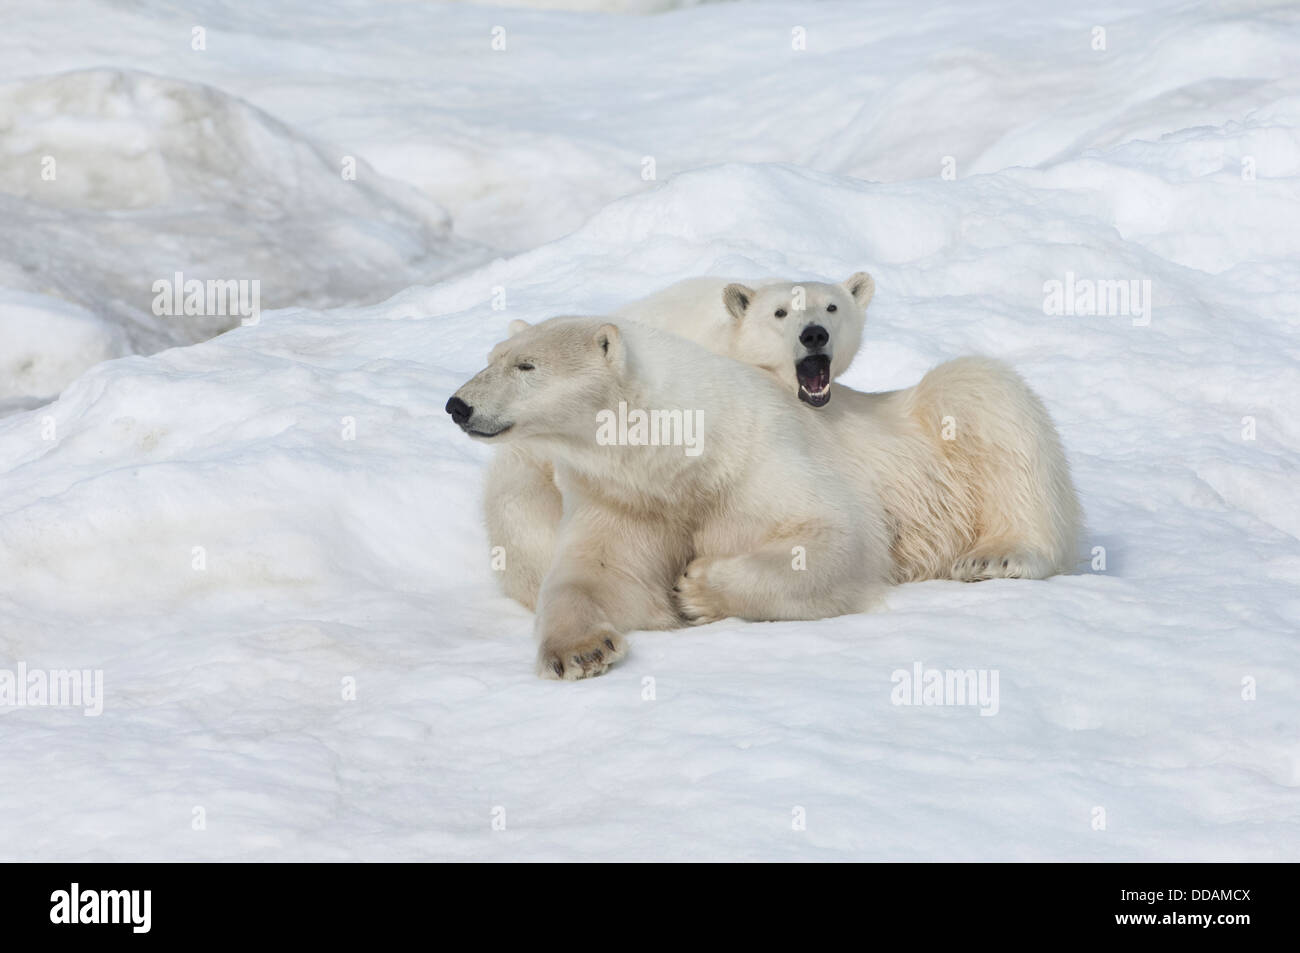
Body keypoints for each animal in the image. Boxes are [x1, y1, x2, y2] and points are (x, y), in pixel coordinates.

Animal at [447, 314, 894, 676]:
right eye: (492, 358)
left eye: (526, 365)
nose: (457, 406)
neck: (691, 462)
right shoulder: (625, 499)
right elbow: (600, 574)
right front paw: (581, 652)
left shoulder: (759, 461)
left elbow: (839, 537)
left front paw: (694, 589)